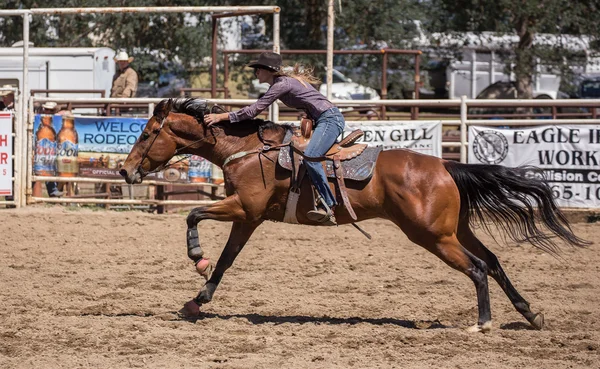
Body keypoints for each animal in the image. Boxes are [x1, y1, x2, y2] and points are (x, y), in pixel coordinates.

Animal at [119, 98, 588, 330]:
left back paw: (484, 323)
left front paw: (197, 259)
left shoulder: (243, 208)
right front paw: (196, 301)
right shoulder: (249, 218)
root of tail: (445, 165)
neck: (248, 151)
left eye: (147, 132)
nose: (124, 170)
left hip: (432, 236)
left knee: (476, 268)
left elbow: (193, 216)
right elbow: (227, 260)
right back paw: (530, 314)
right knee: (492, 262)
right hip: (454, 230)